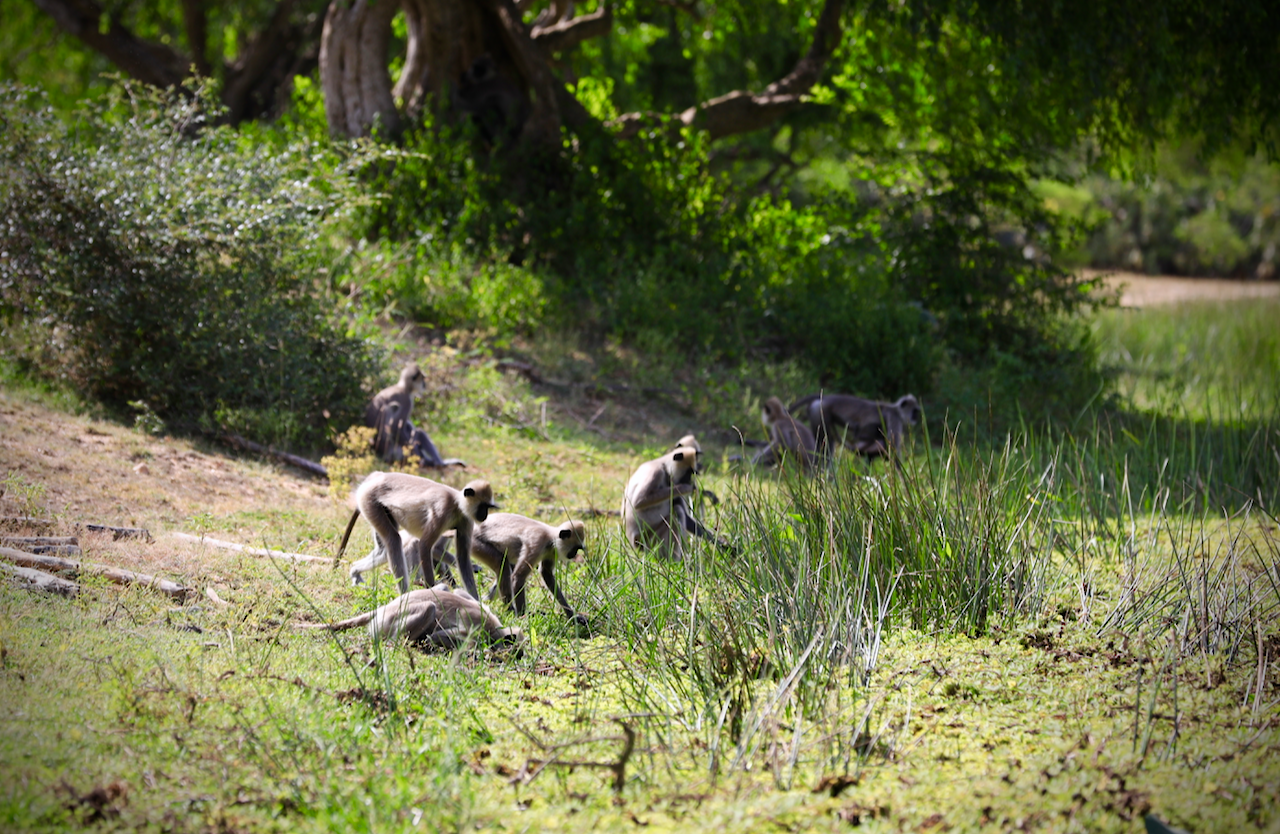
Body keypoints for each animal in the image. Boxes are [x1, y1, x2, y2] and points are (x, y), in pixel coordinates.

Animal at [296, 580, 522, 652]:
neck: (494, 628)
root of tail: (385, 608)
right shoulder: (475, 631)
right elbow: (436, 637)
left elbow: (458, 592)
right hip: (389, 622)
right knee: (429, 608)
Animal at [335, 475, 494, 598]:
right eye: (483, 506)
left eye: (488, 507)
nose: (484, 515)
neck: (456, 504)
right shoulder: (442, 511)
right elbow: (425, 545)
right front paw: (433, 591)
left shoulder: (466, 519)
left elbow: (463, 558)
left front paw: (476, 602)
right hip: (369, 500)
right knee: (393, 540)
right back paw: (405, 594)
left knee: (383, 551)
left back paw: (355, 571)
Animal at [788, 391, 921, 463]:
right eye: (914, 411)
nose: (916, 417)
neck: (895, 409)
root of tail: (825, 398)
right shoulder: (895, 418)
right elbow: (893, 451)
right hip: (820, 413)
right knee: (826, 445)